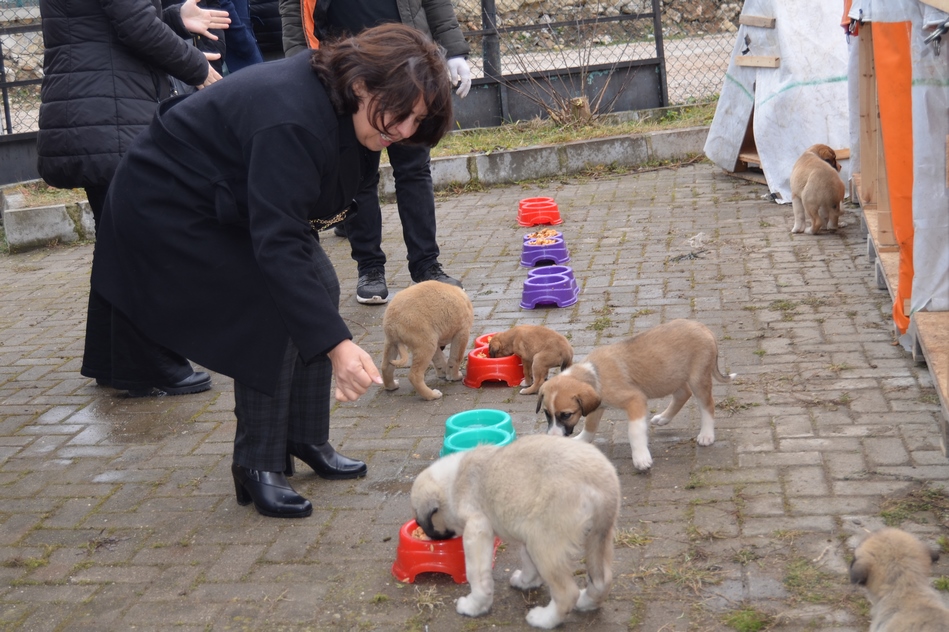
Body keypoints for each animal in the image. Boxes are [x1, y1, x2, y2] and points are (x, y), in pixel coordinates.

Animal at [410, 434, 620, 632]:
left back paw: (544, 619)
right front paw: (526, 582)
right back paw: (586, 601)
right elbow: (527, 561)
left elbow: (476, 575)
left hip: (542, 540)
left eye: (420, 520)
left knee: (567, 593)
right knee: (602, 580)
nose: (428, 535)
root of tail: (602, 486)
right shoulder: (523, 535)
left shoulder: (477, 530)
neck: (451, 485)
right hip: (598, 537)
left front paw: (474, 605)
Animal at [532, 318, 732, 472]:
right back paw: (663, 418)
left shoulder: (635, 400)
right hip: (670, 376)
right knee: (683, 393)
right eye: (546, 413)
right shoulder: (597, 406)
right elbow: (590, 425)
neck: (595, 374)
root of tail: (704, 328)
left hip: (698, 378)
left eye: (566, 415)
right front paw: (581, 441)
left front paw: (641, 458)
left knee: (707, 404)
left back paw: (706, 435)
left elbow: (634, 431)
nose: (553, 437)